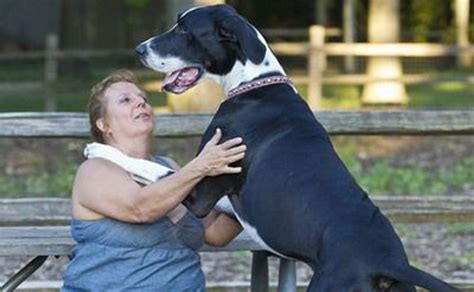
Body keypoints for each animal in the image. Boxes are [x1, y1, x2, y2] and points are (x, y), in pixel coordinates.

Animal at [136, 4, 460, 292]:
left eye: (184, 30)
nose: (140, 49)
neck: (254, 84)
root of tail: (391, 263)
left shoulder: (200, 194)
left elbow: (151, 169)